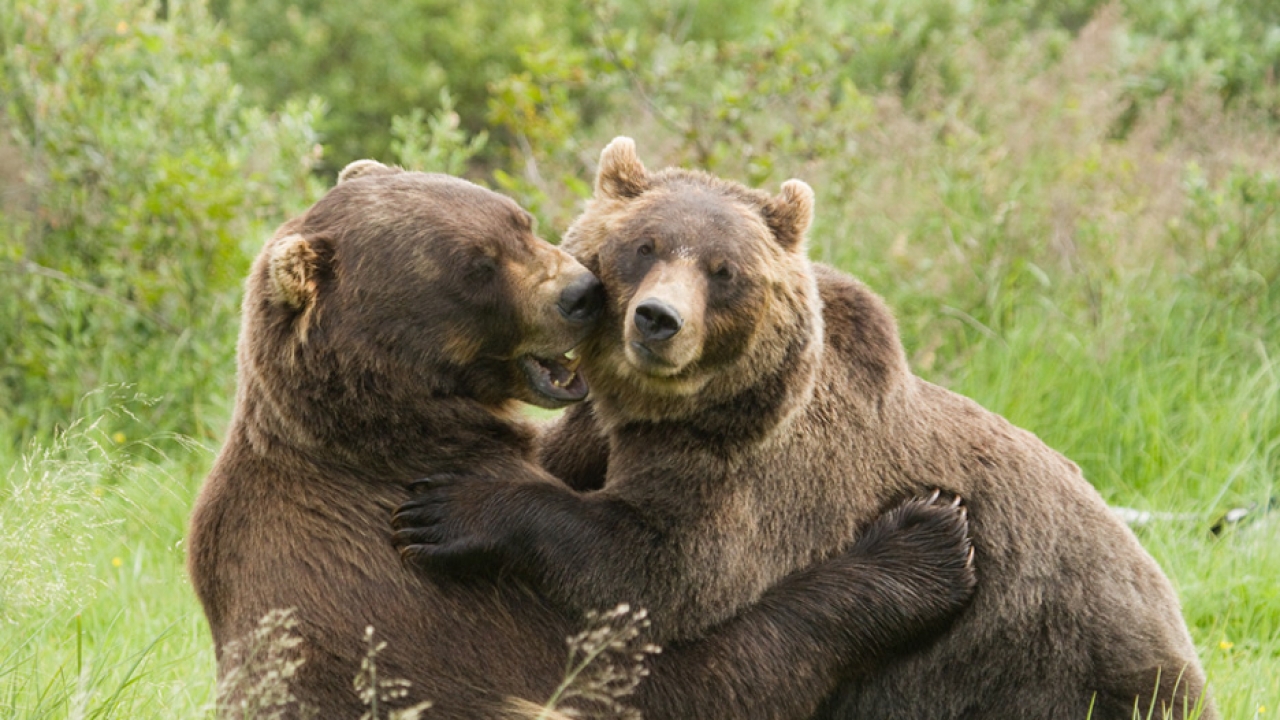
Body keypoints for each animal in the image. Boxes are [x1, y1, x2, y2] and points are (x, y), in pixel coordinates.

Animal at [185, 159, 972, 712]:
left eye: (520, 219)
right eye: (475, 265)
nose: (582, 294)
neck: (399, 432)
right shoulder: (415, 595)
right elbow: (683, 677)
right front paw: (925, 543)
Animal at [399, 140, 1218, 717]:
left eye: (723, 270)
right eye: (645, 246)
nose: (658, 320)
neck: (659, 411)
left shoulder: (759, 480)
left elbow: (653, 569)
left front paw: (455, 506)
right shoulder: (600, 430)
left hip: (1053, 663)